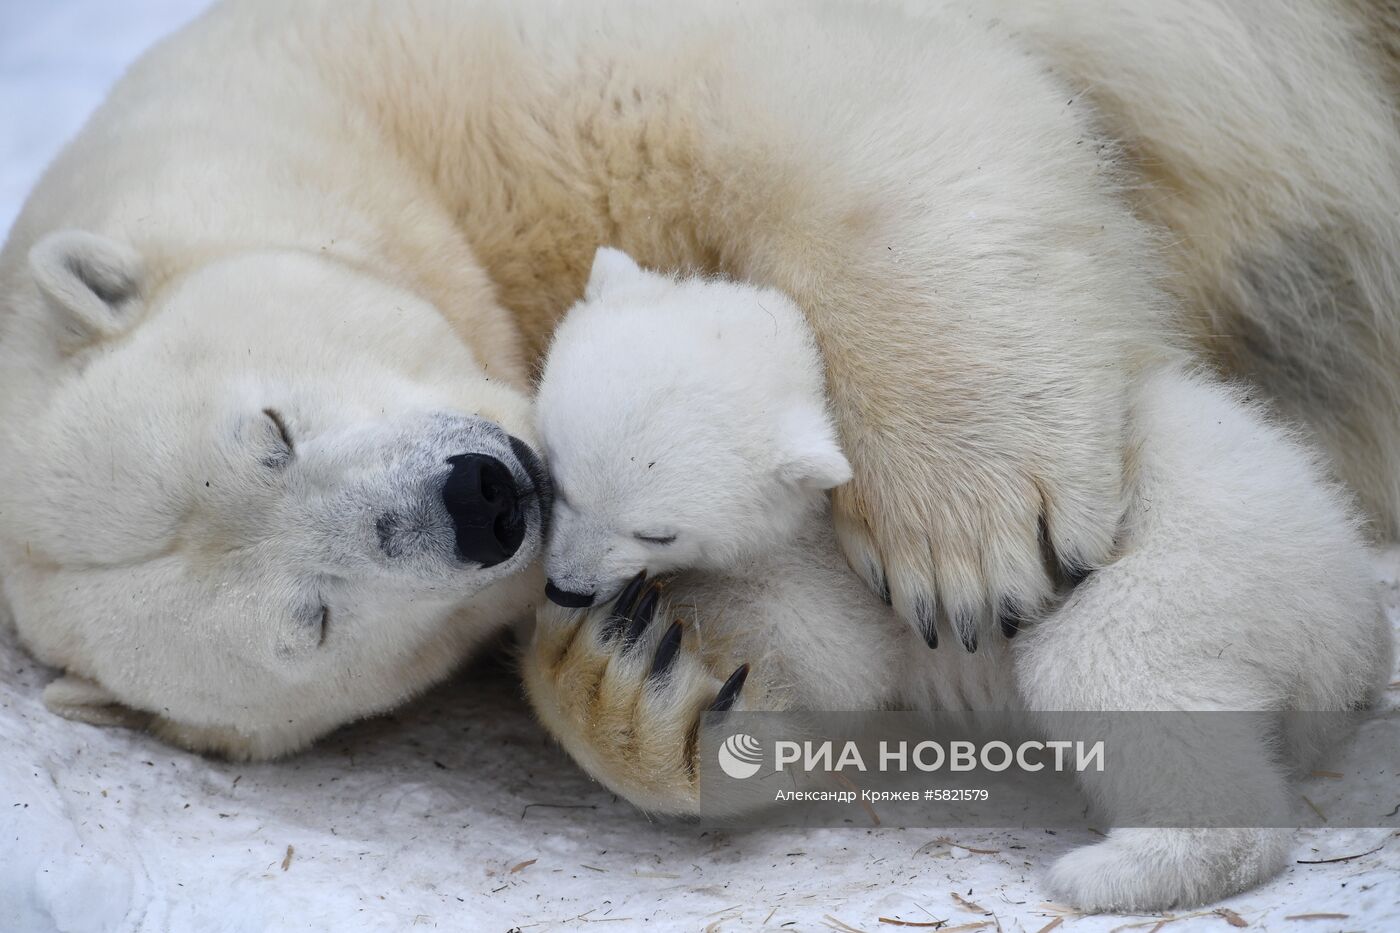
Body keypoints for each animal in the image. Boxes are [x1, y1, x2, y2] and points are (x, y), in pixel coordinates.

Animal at [0, 0, 1394, 862]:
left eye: (269, 427)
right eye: (309, 622)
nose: (480, 499)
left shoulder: (466, 65)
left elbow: (840, 99)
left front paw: (968, 539)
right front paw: (652, 672)